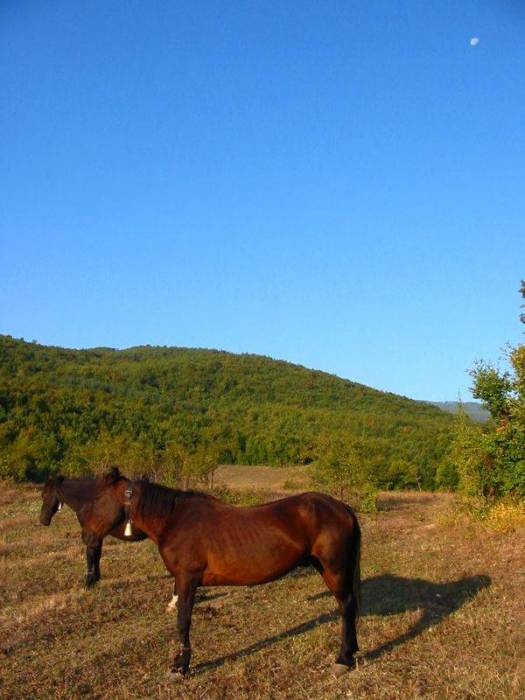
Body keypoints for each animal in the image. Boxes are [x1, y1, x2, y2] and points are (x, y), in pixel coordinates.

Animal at [101, 468, 360, 676]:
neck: (175, 519)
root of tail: (343, 507)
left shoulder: (187, 579)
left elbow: (183, 621)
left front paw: (180, 666)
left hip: (334, 569)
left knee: (347, 606)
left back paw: (343, 660)